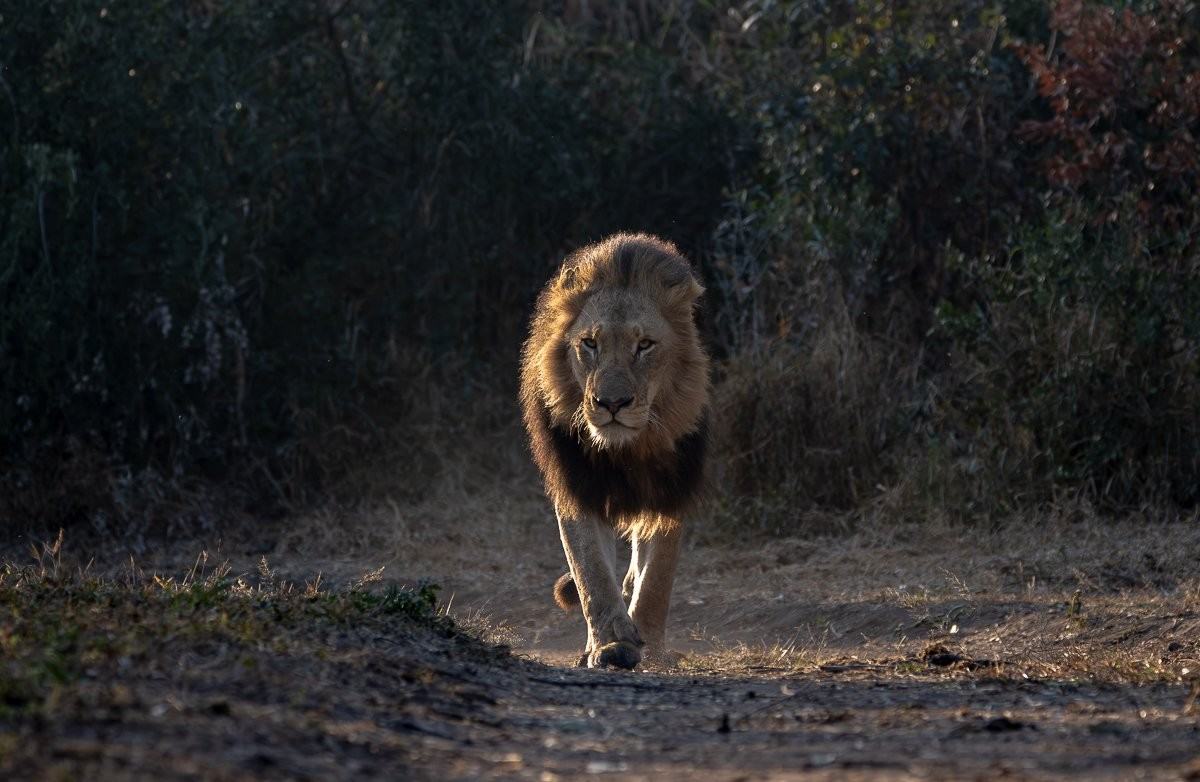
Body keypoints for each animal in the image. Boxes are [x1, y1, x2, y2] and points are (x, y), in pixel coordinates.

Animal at [519, 233, 710, 670]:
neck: (626, 448)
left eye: (645, 345)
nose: (611, 403)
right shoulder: (577, 487)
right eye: (590, 343)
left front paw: (651, 645)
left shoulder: (671, 489)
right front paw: (611, 643)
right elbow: (591, 572)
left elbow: (657, 577)